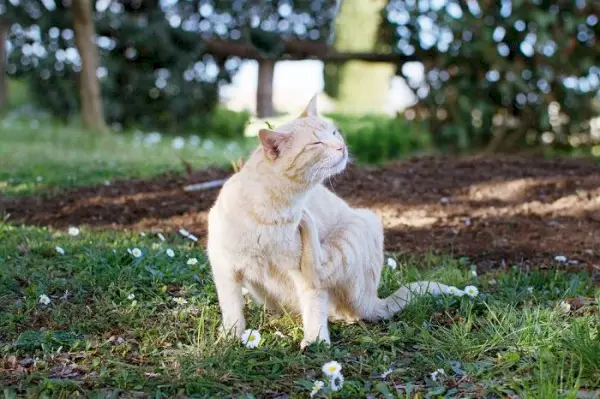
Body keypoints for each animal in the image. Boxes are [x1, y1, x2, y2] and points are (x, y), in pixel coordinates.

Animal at [206, 94, 454, 346]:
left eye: (334, 133)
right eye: (316, 144)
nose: (341, 146)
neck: (277, 210)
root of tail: (374, 300)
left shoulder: (301, 276)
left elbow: (314, 303)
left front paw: (316, 341)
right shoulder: (224, 268)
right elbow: (232, 309)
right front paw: (229, 338)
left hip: (364, 221)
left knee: (320, 273)